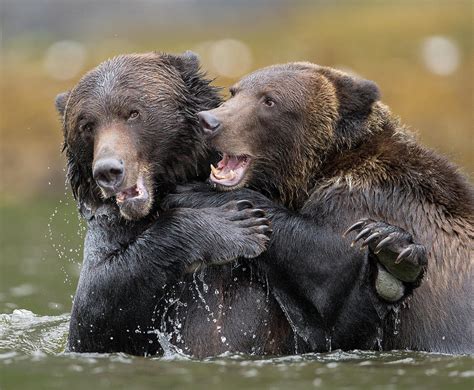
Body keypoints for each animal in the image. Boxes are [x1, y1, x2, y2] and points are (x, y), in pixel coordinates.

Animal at [181, 61, 470, 354]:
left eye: (269, 100)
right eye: (234, 91)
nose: (208, 121)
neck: (321, 167)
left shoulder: (358, 202)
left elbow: (330, 273)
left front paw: (193, 192)